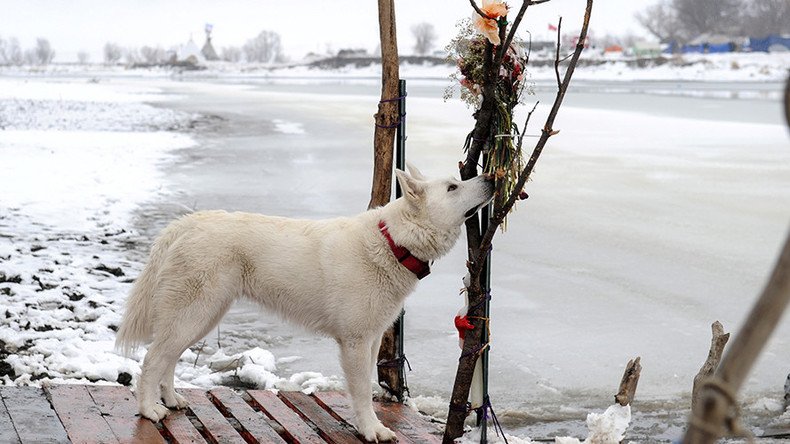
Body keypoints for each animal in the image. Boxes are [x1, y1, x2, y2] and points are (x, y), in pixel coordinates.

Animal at [116, 165, 496, 442]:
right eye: (452, 188)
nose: (492, 177)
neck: (393, 242)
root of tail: (184, 225)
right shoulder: (356, 342)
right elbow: (361, 392)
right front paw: (371, 430)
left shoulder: (373, 339)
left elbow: (367, 389)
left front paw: (369, 426)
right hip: (195, 313)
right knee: (152, 360)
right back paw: (150, 410)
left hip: (201, 316)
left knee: (167, 358)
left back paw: (171, 400)